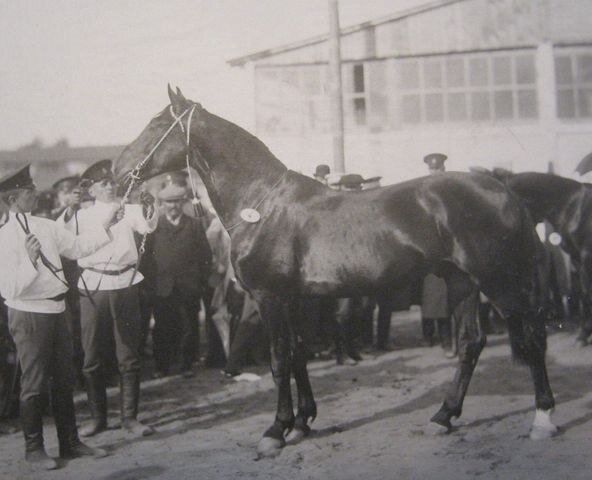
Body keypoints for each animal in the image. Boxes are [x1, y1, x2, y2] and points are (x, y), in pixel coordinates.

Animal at [113, 86, 556, 458]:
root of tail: (505, 192)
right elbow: (298, 354)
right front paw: (303, 421)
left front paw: (275, 431)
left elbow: (279, 360)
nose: (117, 172)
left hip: (498, 281)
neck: (261, 203)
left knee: (532, 339)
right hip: (461, 282)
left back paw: (543, 420)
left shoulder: (271, 297)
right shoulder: (293, 299)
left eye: (156, 125)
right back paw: (443, 416)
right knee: (470, 343)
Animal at [494, 172, 592, 344]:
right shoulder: (578, 259)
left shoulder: (586, 256)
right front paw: (584, 333)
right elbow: (585, 292)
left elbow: (587, 293)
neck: (573, 206)